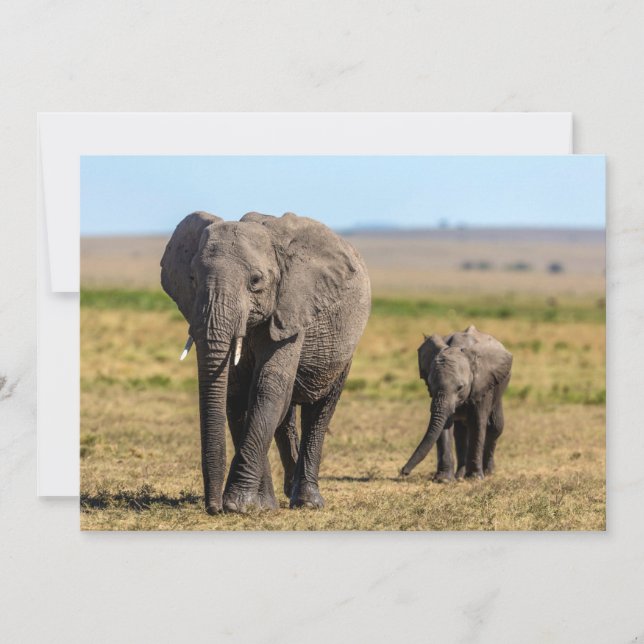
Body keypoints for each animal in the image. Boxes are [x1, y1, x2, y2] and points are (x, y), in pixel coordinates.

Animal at [161, 210, 371, 514]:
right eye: (192, 278)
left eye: (256, 281)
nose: (213, 507)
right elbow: (237, 395)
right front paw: (261, 506)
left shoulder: (291, 309)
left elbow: (267, 389)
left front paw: (238, 505)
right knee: (285, 415)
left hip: (344, 348)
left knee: (319, 410)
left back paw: (307, 502)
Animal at [401, 325, 512, 481]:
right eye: (430, 385)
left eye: (460, 387)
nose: (403, 472)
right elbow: (445, 424)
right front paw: (444, 480)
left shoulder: (482, 383)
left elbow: (478, 422)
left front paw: (474, 478)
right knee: (460, 433)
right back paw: (460, 475)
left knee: (495, 427)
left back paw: (488, 472)